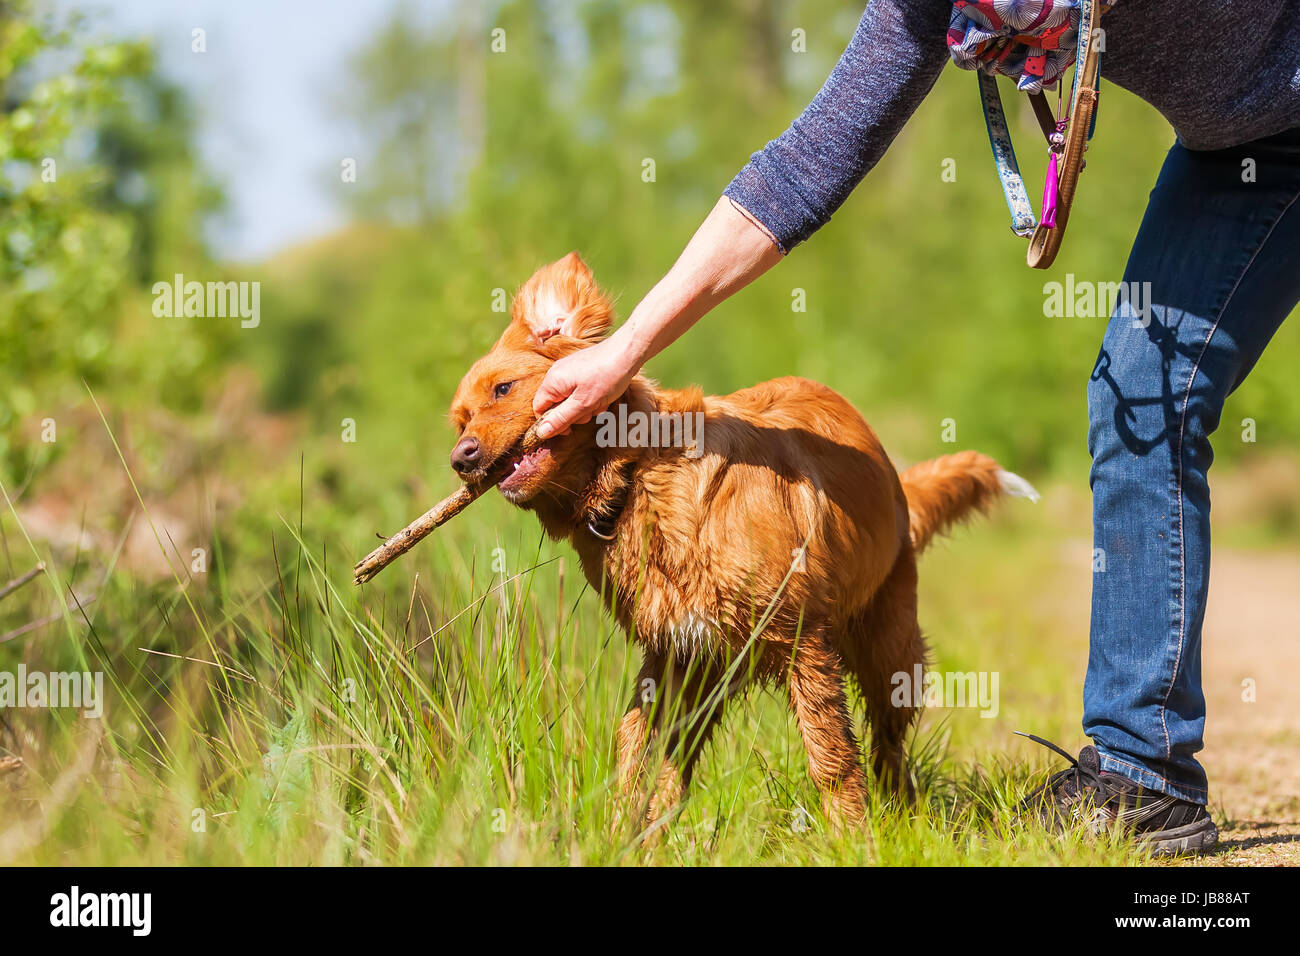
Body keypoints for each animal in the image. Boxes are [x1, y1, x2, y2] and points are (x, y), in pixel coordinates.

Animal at [447, 254, 1034, 832]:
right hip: (712, 671)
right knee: (676, 765)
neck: (639, 478)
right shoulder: (674, 651)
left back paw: (899, 813)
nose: (460, 458)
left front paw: (853, 839)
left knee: (888, 742)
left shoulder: (801, 639)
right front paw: (617, 835)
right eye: (460, 421)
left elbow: (831, 758)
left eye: (504, 389)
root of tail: (896, 487)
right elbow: (634, 747)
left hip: (888, 650)